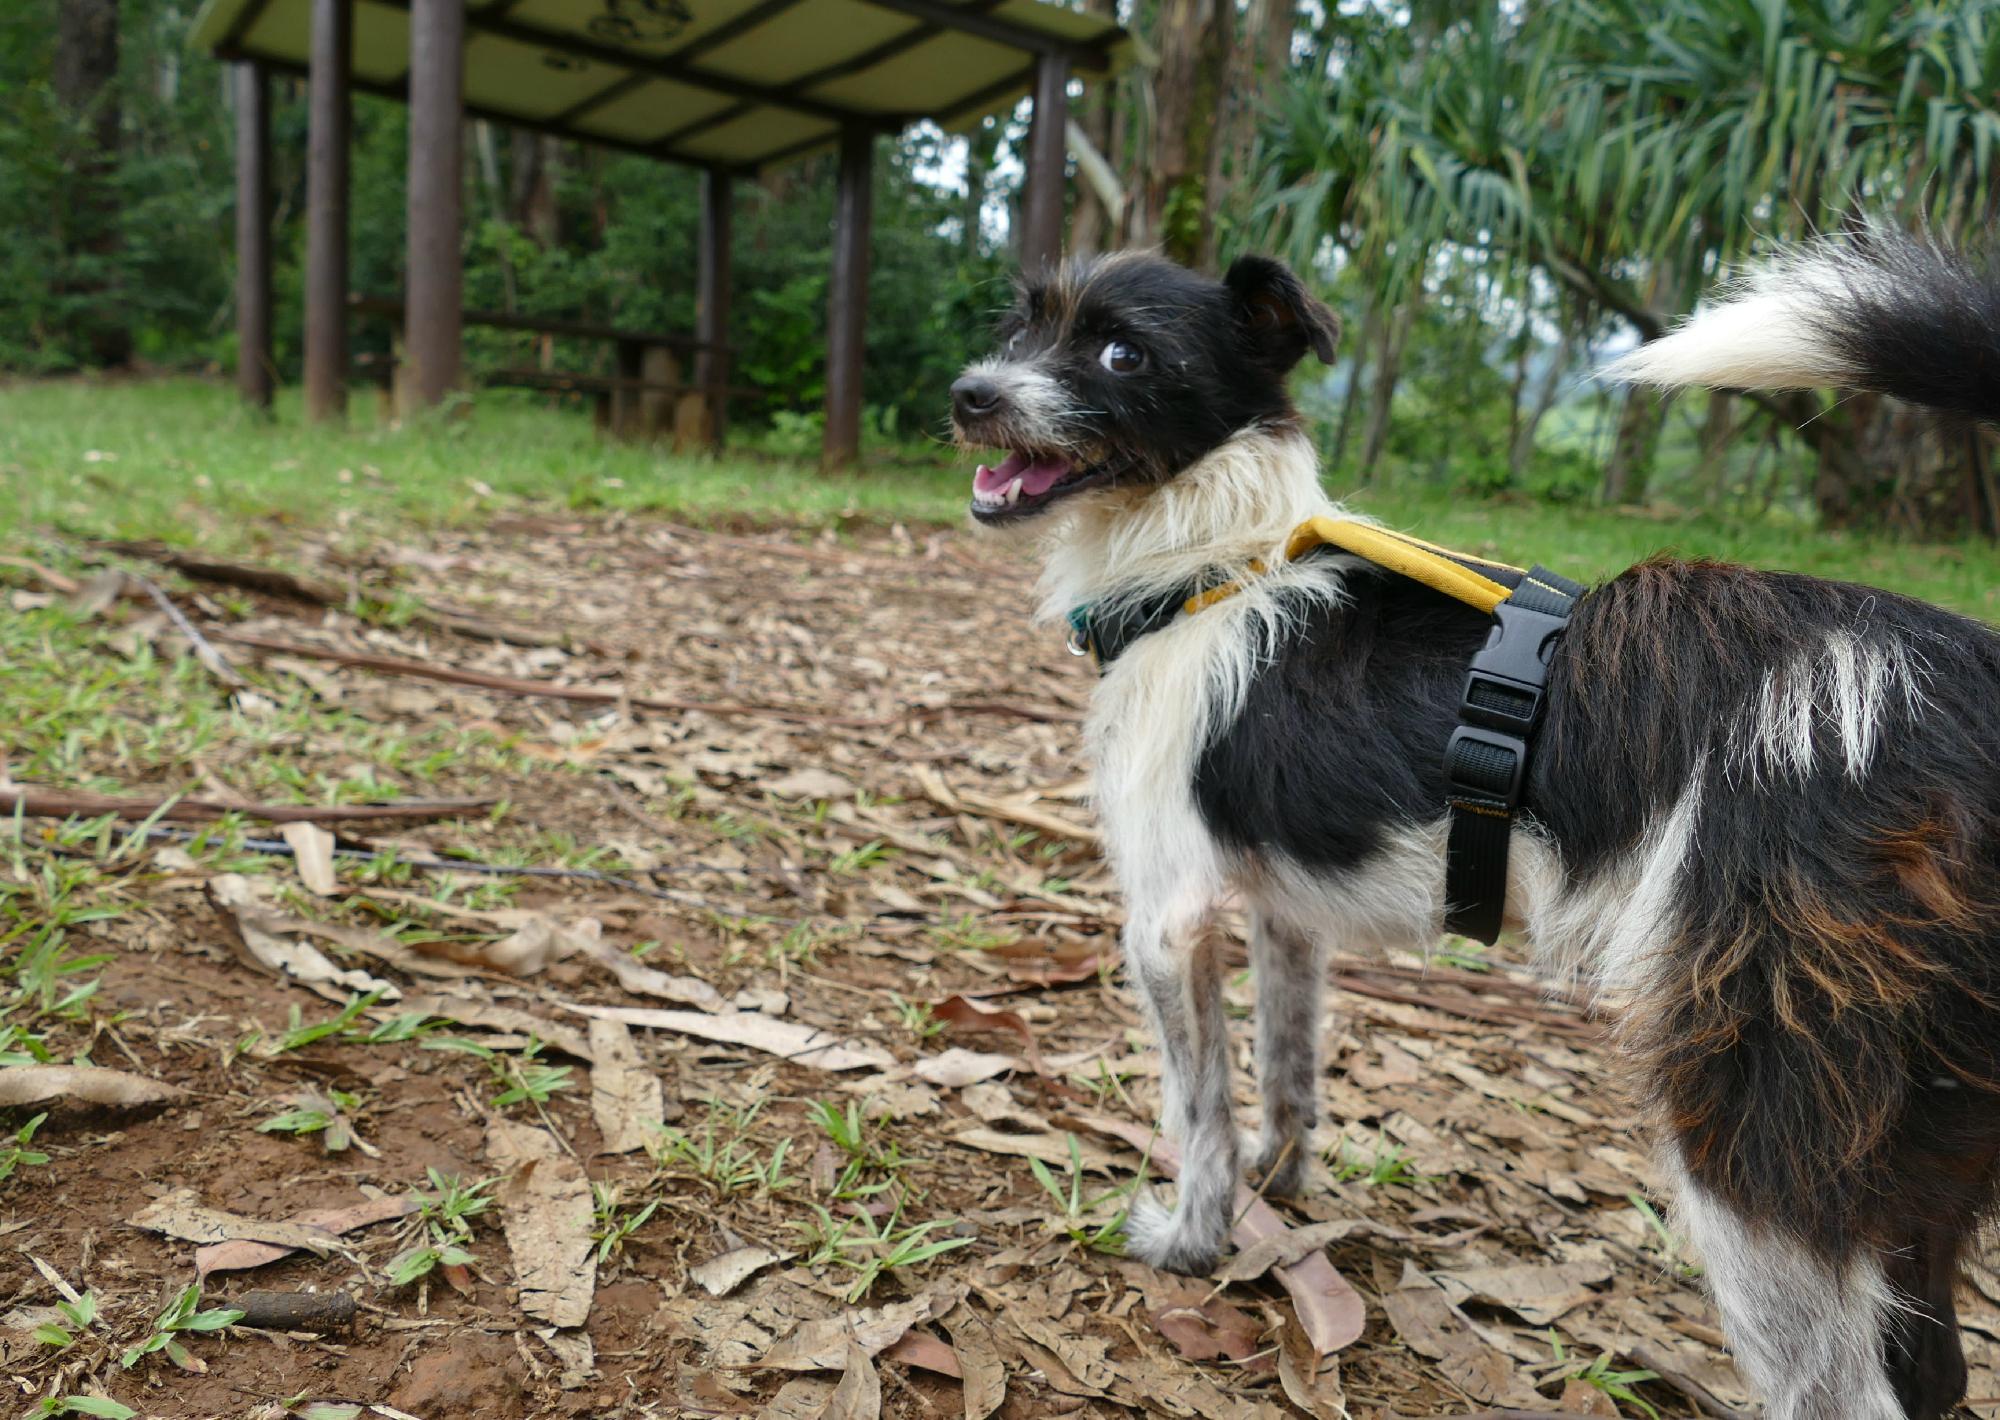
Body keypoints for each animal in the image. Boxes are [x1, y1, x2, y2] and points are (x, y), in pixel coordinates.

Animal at [948, 242, 2000, 1420]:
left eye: (1122, 353)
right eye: (1023, 326)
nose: (968, 394)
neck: (1216, 560)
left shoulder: (1168, 921)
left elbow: (1199, 1110)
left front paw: (1192, 1240)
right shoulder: (1282, 913)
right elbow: (1286, 1069)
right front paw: (1280, 1183)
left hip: (1760, 1127)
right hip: (1924, 1148)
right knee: (1933, 1363)